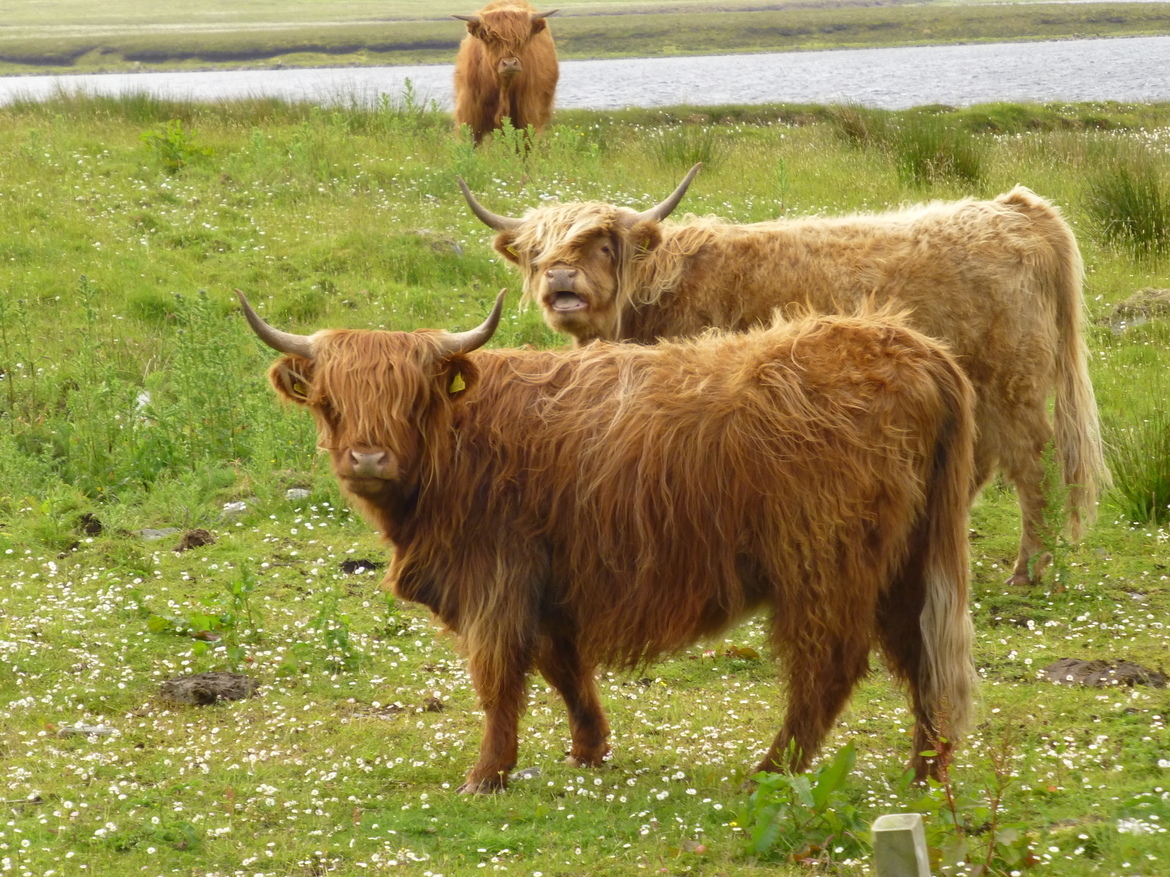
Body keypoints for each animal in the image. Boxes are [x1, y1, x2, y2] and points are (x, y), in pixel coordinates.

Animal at [238, 287, 978, 793]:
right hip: (907, 559)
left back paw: (771, 770)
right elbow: (562, 664)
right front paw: (589, 748)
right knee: (921, 659)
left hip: (823, 556)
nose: (368, 459)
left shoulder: (496, 575)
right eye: (330, 400)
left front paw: (487, 772)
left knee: (829, 664)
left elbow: (500, 675)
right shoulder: (549, 577)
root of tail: (915, 347)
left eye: (412, 399)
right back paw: (926, 771)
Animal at [452, 1, 559, 144]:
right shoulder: (469, 115)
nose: (509, 64)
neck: (504, 85)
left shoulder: (529, 116)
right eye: (491, 38)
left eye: (522, 39)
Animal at [458, 168, 1109, 587]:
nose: (560, 281)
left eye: (600, 243)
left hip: (1012, 382)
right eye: (536, 252)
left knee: (1033, 462)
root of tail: (1012, 206)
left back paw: (1029, 569)